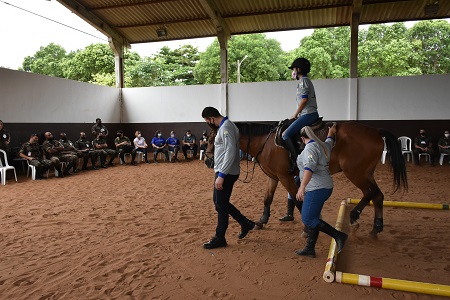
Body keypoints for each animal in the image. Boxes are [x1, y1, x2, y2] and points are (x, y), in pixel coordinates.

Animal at [207, 121, 408, 237]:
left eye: (211, 140)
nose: (209, 161)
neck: (266, 142)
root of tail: (375, 131)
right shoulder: (274, 176)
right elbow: (267, 199)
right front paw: (261, 221)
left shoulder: (285, 176)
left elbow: (297, 200)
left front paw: (307, 228)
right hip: (366, 173)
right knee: (378, 195)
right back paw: (376, 227)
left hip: (356, 173)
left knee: (370, 192)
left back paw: (354, 217)